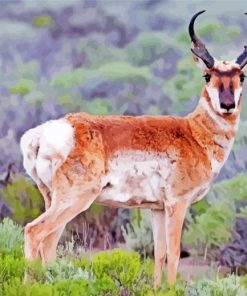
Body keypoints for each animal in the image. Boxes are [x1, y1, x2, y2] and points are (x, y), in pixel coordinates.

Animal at [20, 11, 245, 286]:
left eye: (241, 76)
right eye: (208, 75)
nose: (227, 105)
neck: (192, 133)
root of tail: (46, 132)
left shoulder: (157, 209)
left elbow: (159, 254)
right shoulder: (177, 204)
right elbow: (174, 254)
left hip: (53, 199)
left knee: (48, 244)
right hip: (74, 199)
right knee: (34, 232)